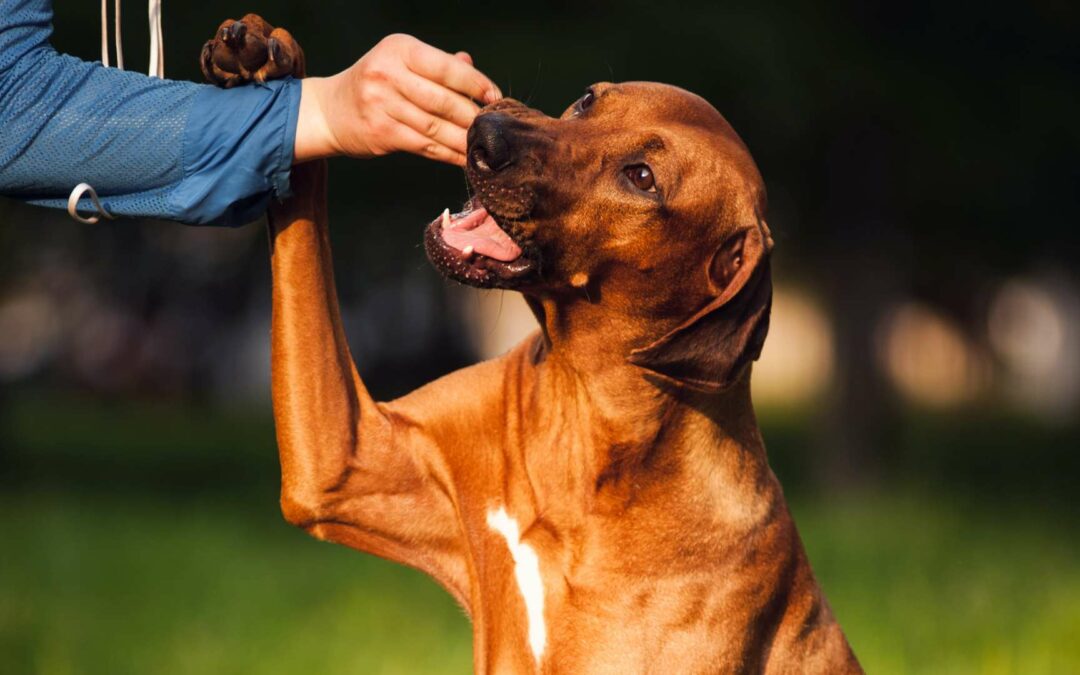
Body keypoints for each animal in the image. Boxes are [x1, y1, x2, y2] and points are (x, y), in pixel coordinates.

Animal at [203, 17, 859, 673]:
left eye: (642, 177)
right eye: (590, 99)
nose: (486, 133)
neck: (581, 423)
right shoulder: (342, 464)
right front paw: (264, 54)